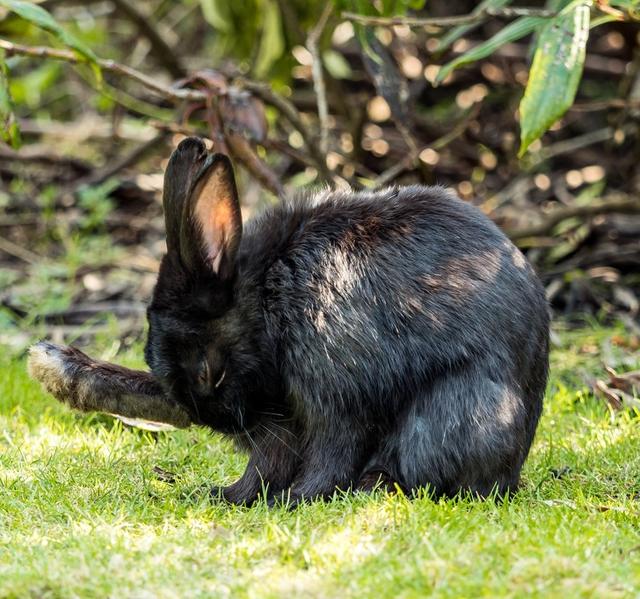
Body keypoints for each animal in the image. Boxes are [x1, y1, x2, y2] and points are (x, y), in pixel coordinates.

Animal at [145, 137, 552, 506]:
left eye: (208, 372)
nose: (219, 421)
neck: (265, 295)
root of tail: (514, 466)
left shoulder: (333, 395)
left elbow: (330, 456)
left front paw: (293, 499)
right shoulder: (283, 417)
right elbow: (266, 464)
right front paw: (226, 495)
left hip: (452, 413)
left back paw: (372, 486)